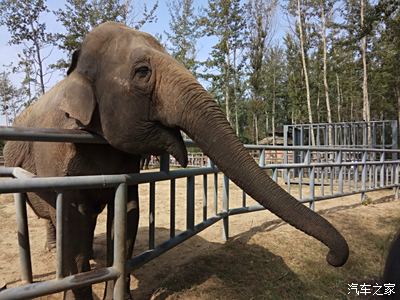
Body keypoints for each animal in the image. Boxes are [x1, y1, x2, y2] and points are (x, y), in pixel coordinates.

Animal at [3, 21, 348, 300]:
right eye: (142, 72)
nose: (334, 259)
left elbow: (127, 216)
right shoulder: (59, 154)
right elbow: (72, 219)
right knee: (53, 217)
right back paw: (53, 251)